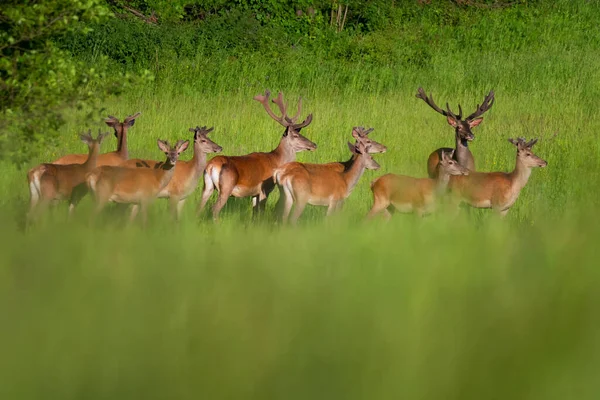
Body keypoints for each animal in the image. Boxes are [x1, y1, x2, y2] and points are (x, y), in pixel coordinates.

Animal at [198, 90, 318, 222]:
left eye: (300, 133)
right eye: (296, 136)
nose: (314, 144)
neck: (276, 161)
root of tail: (211, 165)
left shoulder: (254, 193)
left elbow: (254, 213)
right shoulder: (265, 188)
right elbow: (261, 211)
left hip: (207, 186)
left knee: (199, 207)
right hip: (226, 187)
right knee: (214, 209)